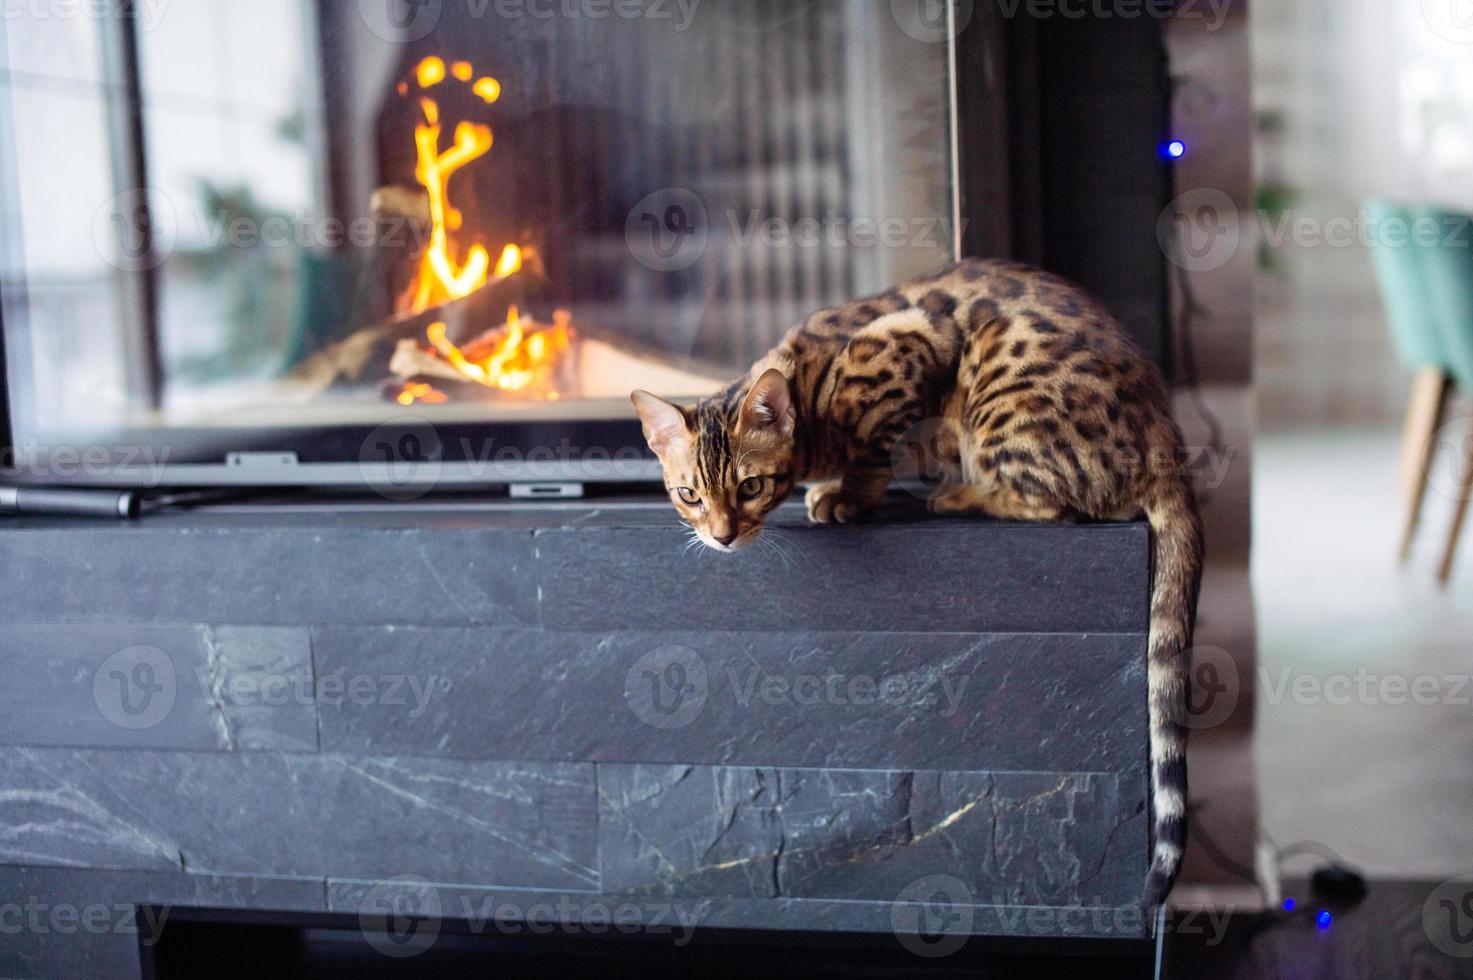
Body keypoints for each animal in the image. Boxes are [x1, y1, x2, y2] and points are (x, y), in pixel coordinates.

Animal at [627, 256, 1201, 907]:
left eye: (750, 487)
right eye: (688, 495)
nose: (723, 536)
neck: (808, 404)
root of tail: (1165, 441)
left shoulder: (903, 345)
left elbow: (870, 452)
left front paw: (847, 496)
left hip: (998, 393)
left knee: (1061, 505)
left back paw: (961, 494)